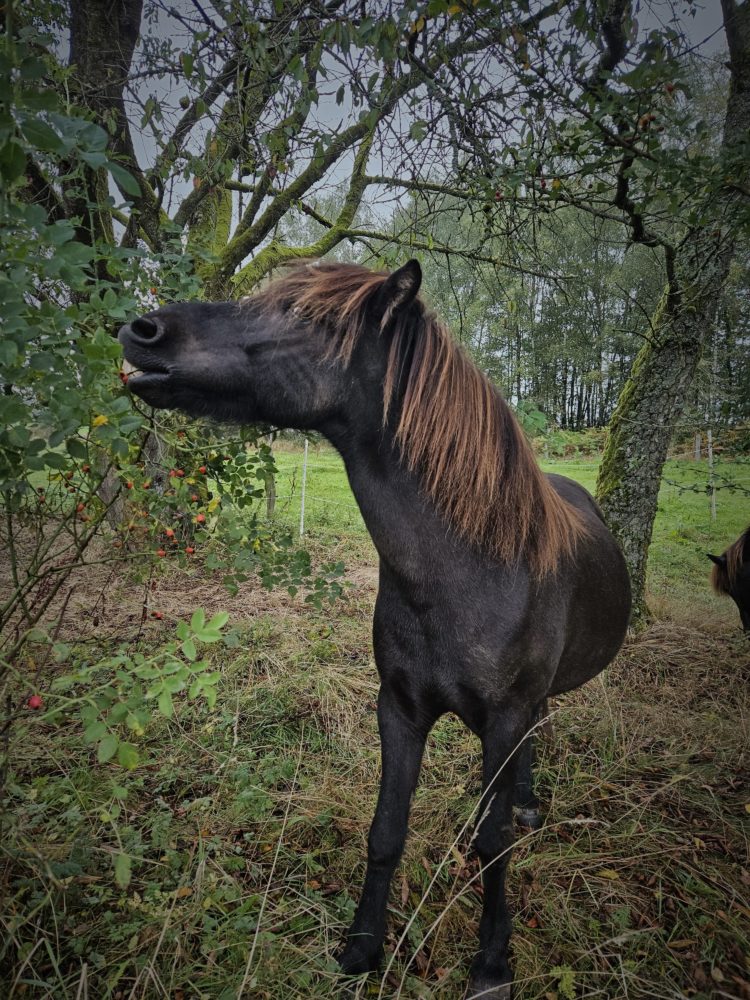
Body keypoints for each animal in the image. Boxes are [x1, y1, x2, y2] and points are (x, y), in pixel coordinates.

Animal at [119, 262, 636, 996]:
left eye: (308, 317)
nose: (143, 330)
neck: (469, 570)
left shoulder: (503, 716)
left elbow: (491, 843)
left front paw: (491, 963)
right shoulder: (399, 710)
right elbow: (386, 831)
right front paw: (362, 949)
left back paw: (527, 806)